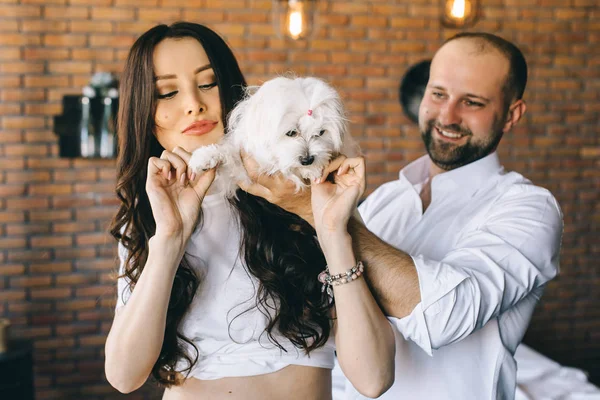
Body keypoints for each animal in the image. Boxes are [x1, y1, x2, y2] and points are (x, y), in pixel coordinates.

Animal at [188, 76, 356, 197]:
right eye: (291, 133)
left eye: (321, 133)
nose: (307, 160)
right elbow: (229, 155)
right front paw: (204, 157)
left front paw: (311, 170)